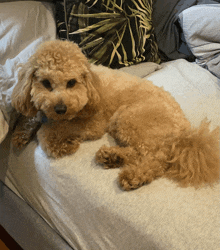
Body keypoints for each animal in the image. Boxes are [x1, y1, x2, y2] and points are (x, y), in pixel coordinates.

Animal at [10, 40, 220, 190]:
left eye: (71, 82)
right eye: (46, 83)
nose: (60, 108)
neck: (91, 85)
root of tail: (184, 132)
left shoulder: (93, 124)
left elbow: (46, 132)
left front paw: (62, 143)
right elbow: (33, 117)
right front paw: (21, 133)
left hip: (128, 118)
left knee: (156, 159)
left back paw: (133, 176)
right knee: (139, 153)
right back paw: (112, 157)